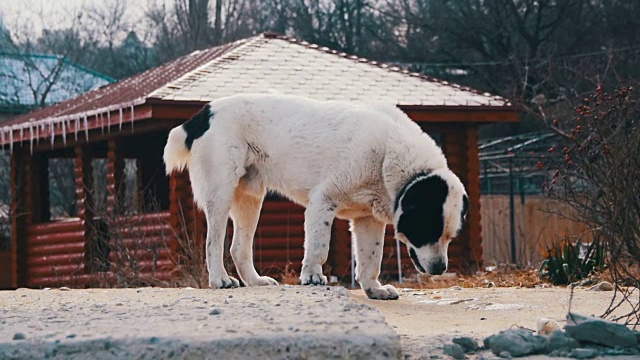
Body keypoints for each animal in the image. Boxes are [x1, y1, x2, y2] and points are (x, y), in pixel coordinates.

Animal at [162, 94, 468, 300]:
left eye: (450, 237)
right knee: (213, 243)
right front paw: (312, 276)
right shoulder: (323, 201)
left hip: (250, 198)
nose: (440, 269)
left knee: (238, 248)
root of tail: (202, 115)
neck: (389, 154)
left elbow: (371, 259)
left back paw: (256, 281)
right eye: (428, 231)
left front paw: (374, 289)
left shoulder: (367, 219)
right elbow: (319, 246)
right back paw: (220, 280)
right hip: (222, 192)